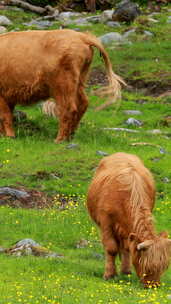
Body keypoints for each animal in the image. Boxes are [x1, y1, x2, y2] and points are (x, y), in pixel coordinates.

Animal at [87, 152, 170, 288]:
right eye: (146, 266)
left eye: (164, 267)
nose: (153, 286)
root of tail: (121, 153)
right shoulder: (105, 222)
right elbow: (111, 248)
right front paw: (109, 275)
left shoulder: (128, 229)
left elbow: (127, 247)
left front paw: (126, 271)